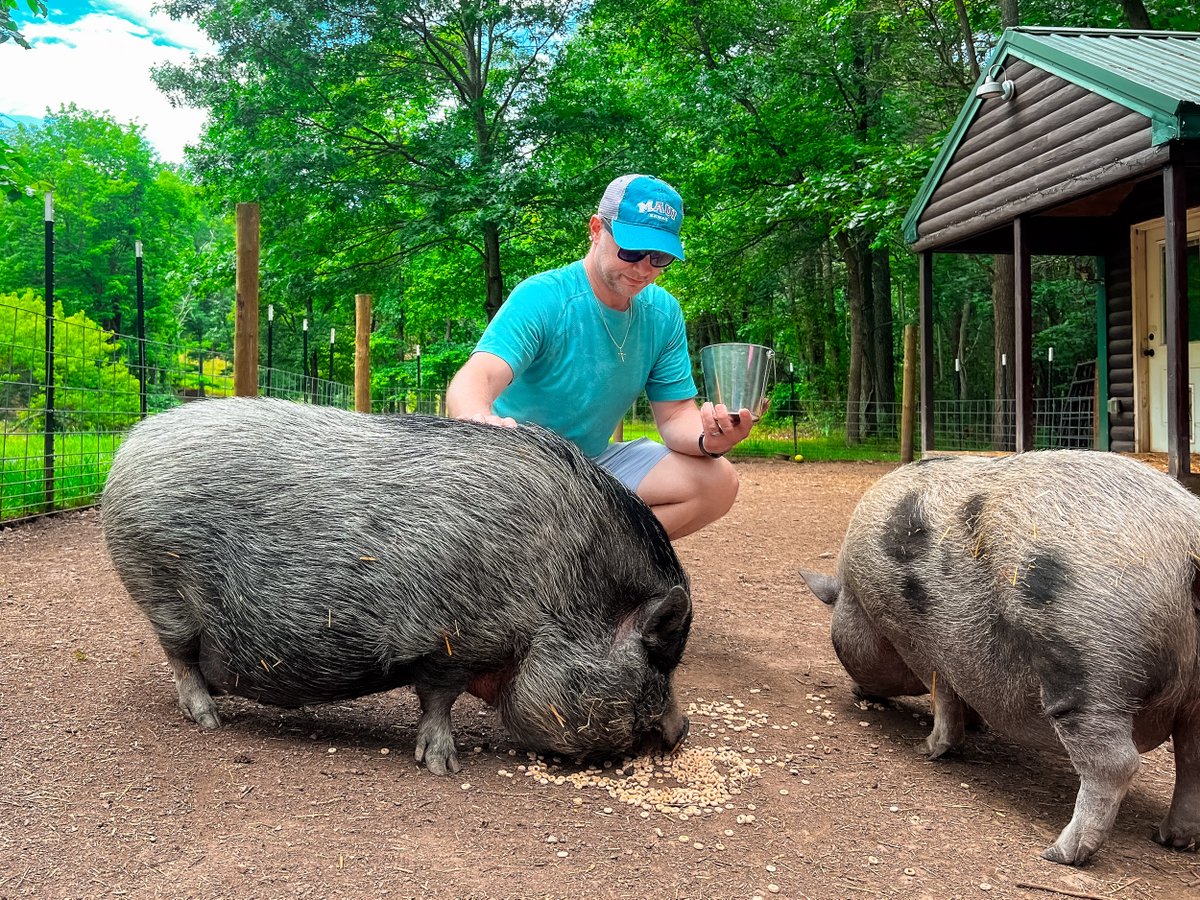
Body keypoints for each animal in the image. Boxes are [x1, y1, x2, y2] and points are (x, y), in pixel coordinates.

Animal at [101, 397, 692, 775]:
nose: (681, 730)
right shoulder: (452, 638)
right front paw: (443, 768)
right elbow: (438, 699)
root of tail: (130, 445)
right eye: (657, 658)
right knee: (180, 657)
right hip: (159, 584)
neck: (558, 593)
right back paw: (209, 720)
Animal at [802, 450, 1200, 865]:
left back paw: (1059, 853)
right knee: (1193, 758)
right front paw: (973, 726)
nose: (857, 692)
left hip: (1092, 668)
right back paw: (1171, 839)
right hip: (1190, 693)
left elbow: (942, 695)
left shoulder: (912, 637)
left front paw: (927, 750)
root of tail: (1189, 543)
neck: (856, 596)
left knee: (1117, 762)